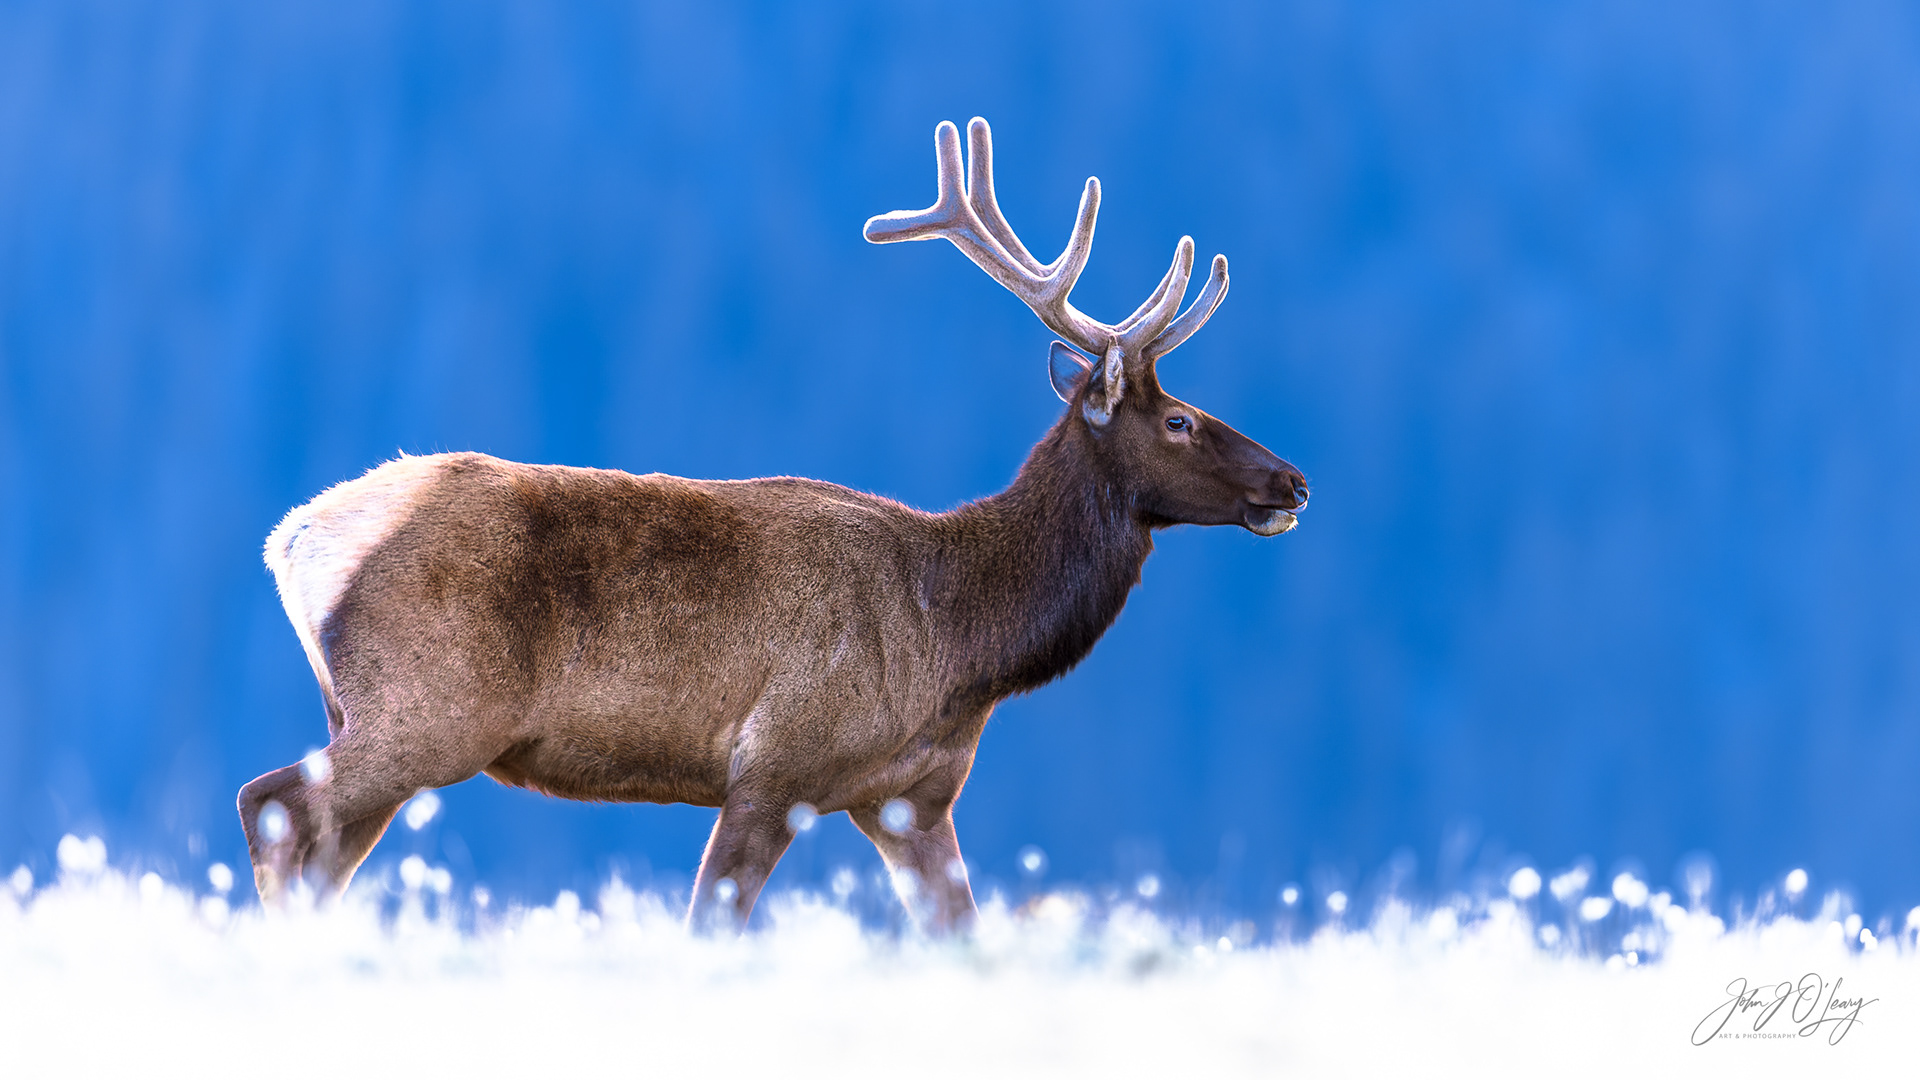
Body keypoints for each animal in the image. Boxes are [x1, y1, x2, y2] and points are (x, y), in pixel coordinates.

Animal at [238, 117, 1308, 933]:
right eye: (1179, 420)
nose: (1292, 480)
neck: (961, 644)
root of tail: (293, 540)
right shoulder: (778, 760)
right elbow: (710, 921)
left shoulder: (911, 798)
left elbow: (961, 932)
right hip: (432, 707)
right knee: (271, 804)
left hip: (380, 716)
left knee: (317, 843)